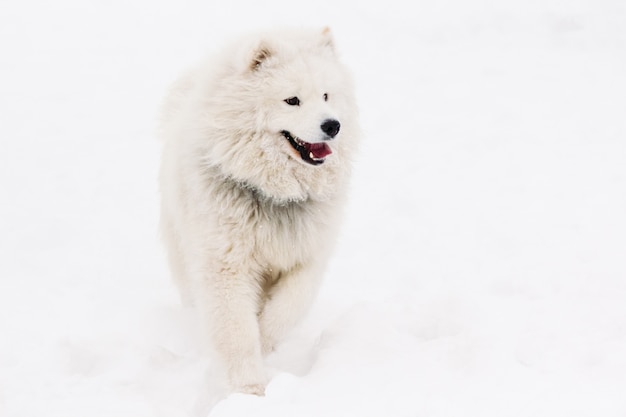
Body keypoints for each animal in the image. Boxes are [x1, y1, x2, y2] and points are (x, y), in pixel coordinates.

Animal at [158, 26, 358, 394]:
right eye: (292, 100)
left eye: (326, 96)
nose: (332, 125)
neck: (275, 193)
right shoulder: (225, 266)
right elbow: (236, 331)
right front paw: (248, 389)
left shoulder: (307, 257)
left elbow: (286, 310)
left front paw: (265, 341)